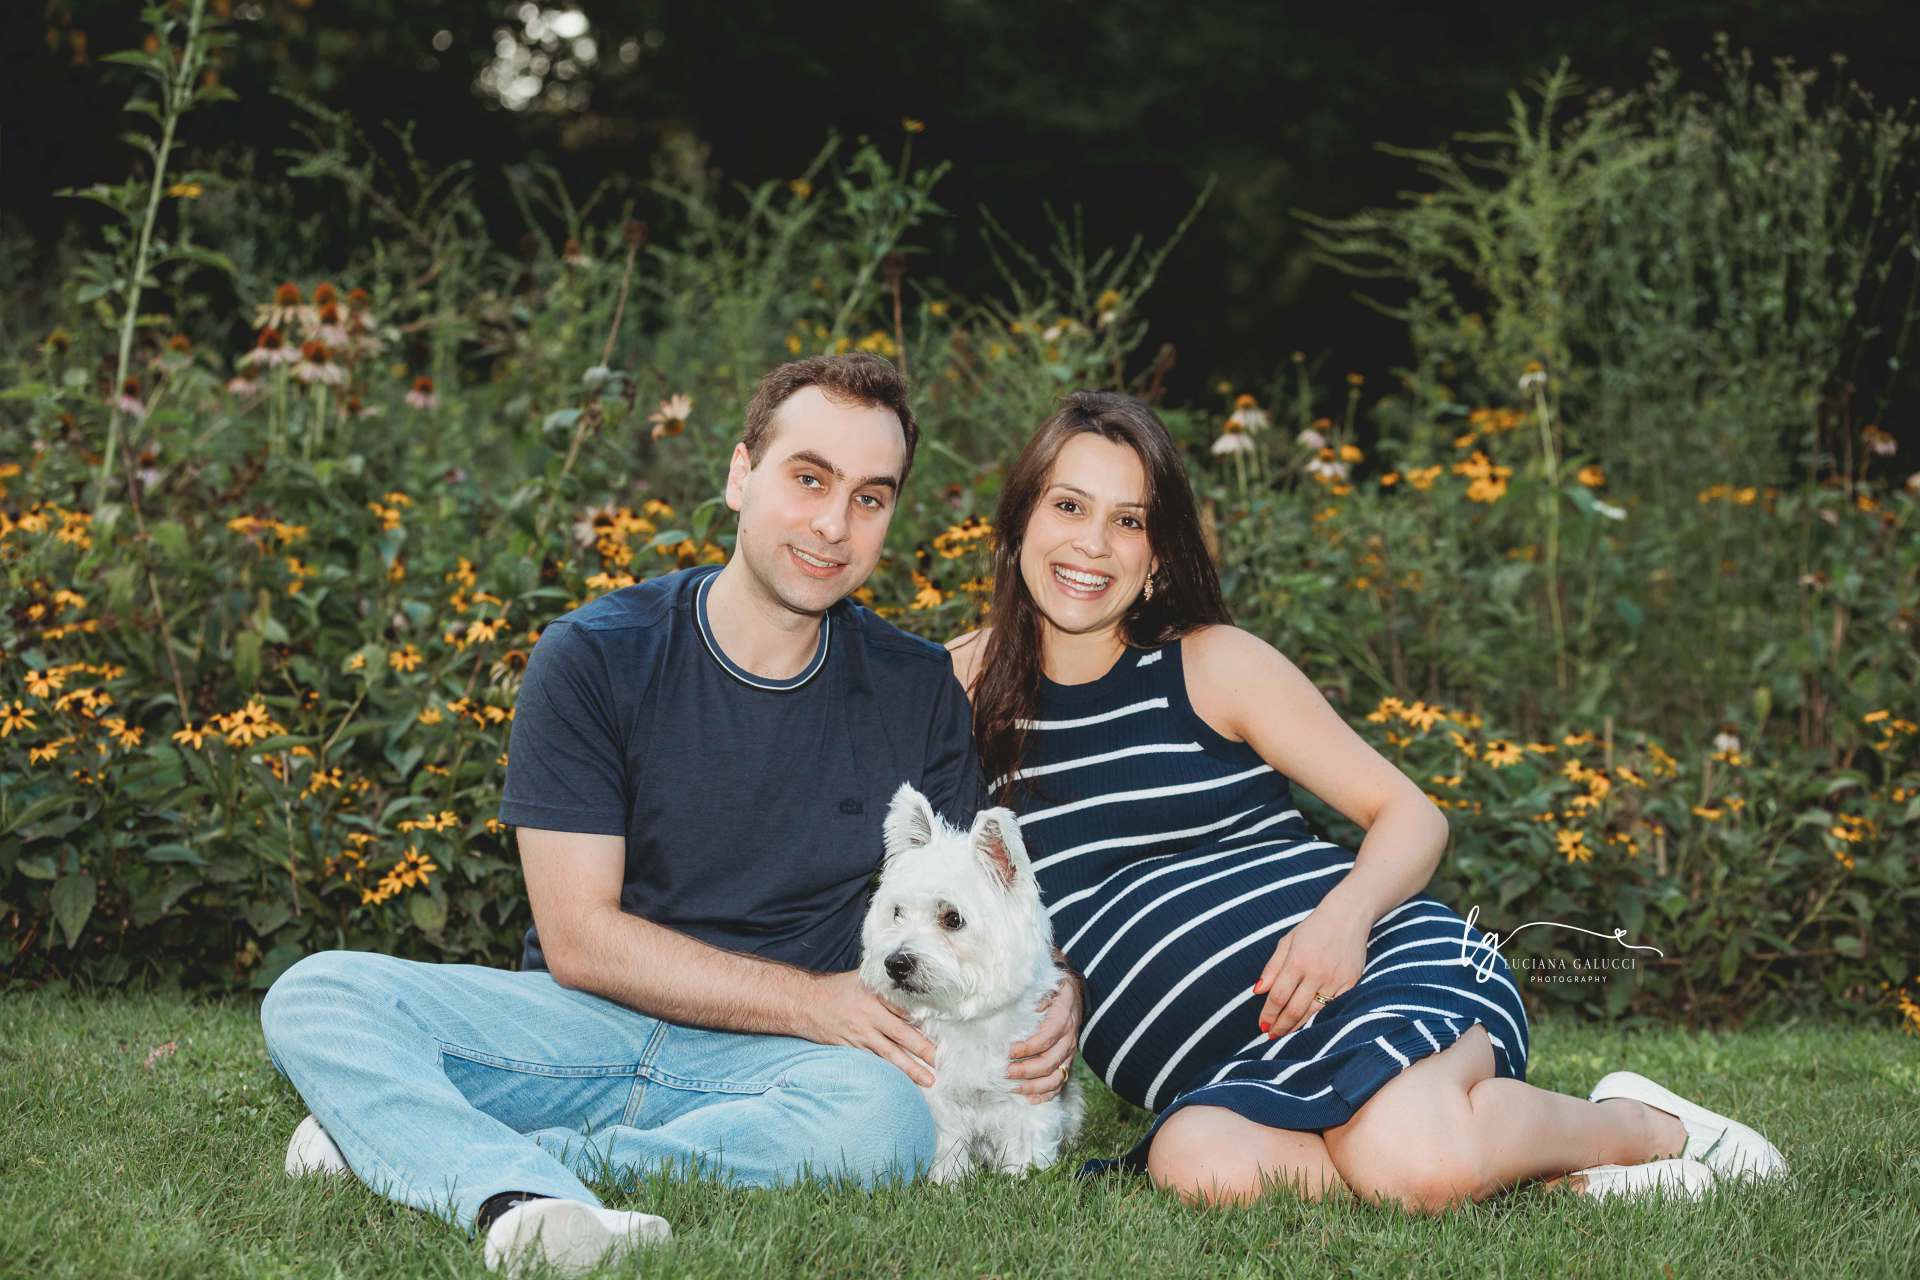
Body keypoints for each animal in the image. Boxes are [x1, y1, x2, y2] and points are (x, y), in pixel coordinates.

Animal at [859, 783, 1084, 1183]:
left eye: (953, 918)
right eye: (897, 913)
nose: (895, 963)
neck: (965, 1016)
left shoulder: (1027, 1093)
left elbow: (1025, 1143)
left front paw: (1022, 1178)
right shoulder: (936, 1093)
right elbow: (947, 1144)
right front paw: (948, 1181)